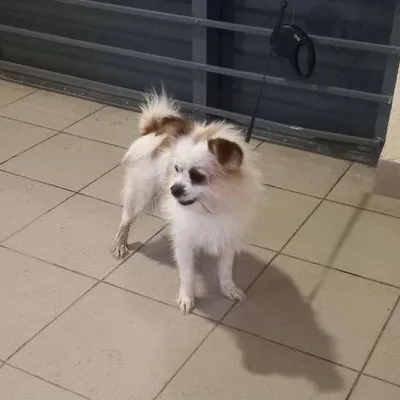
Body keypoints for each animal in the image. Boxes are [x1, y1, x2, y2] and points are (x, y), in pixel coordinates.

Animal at [111, 92, 261, 313]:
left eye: (197, 176)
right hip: (141, 193)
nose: (173, 189)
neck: (210, 206)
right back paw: (120, 242)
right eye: (176, 169)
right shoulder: (184, 241)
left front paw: (228, 288)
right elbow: (187, 273)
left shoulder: (228, 235)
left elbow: (225, 268)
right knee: (126, 218)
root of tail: (156, 126)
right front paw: (187, 297)